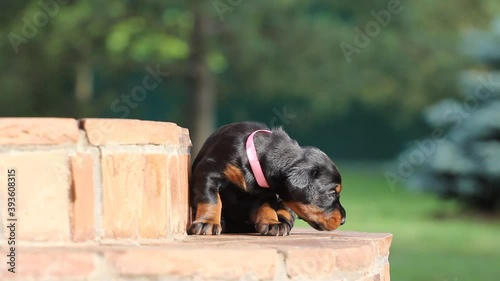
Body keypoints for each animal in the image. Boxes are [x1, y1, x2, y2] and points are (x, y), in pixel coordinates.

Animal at [186, 121, 346, 235]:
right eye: (331, 193)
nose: (344, 220)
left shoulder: (265, 193)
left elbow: (266, 207)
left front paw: (271, 223)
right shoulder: (209, 171)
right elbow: (211, 199)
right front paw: (208, 222)